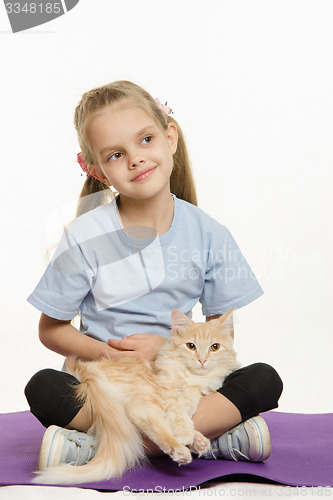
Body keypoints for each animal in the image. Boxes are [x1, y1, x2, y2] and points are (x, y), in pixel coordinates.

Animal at [35, 308, 240, 484]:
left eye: (215, 347)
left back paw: (198, 442)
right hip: (144, 396)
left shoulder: (195, 390)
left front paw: (189, 426)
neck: (190, 377)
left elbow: (188, 406)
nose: (202, 360)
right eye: (191, 346)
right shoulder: (165, 390)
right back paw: (181, 449)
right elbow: (178, 415)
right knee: (149, 421)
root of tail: (87, 371)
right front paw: (184, 432)